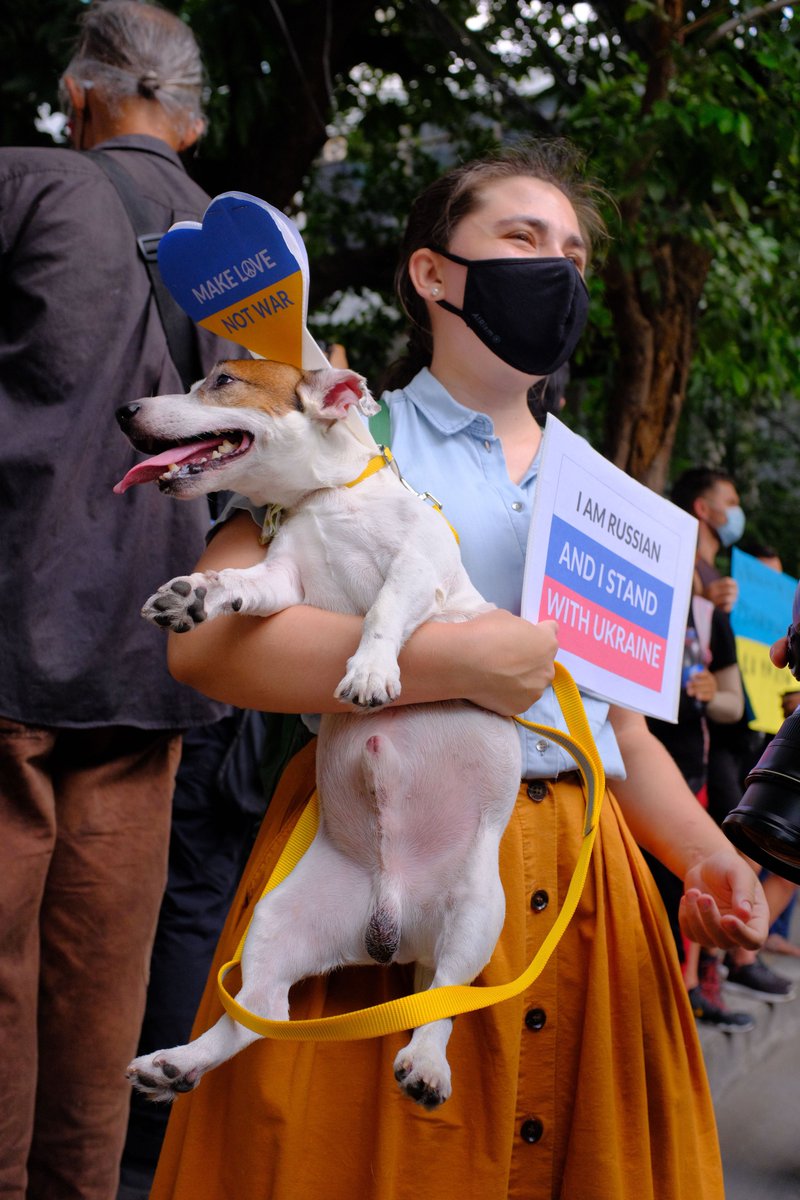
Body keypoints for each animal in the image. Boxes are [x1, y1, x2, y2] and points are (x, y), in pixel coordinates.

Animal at [115, 360, 522, 1108]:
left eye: (221, 381)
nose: (125, 411)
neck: (328, 500)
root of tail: (396, 923)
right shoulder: (282, 581)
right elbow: (239, 581)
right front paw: (196, 595)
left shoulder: (420, 563)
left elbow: (385, 607)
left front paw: (370, 669)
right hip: (278, 917)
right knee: (261, 1013)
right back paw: (175, 1064)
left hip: (476, 913)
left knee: (444, 1003)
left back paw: (427, 1065)